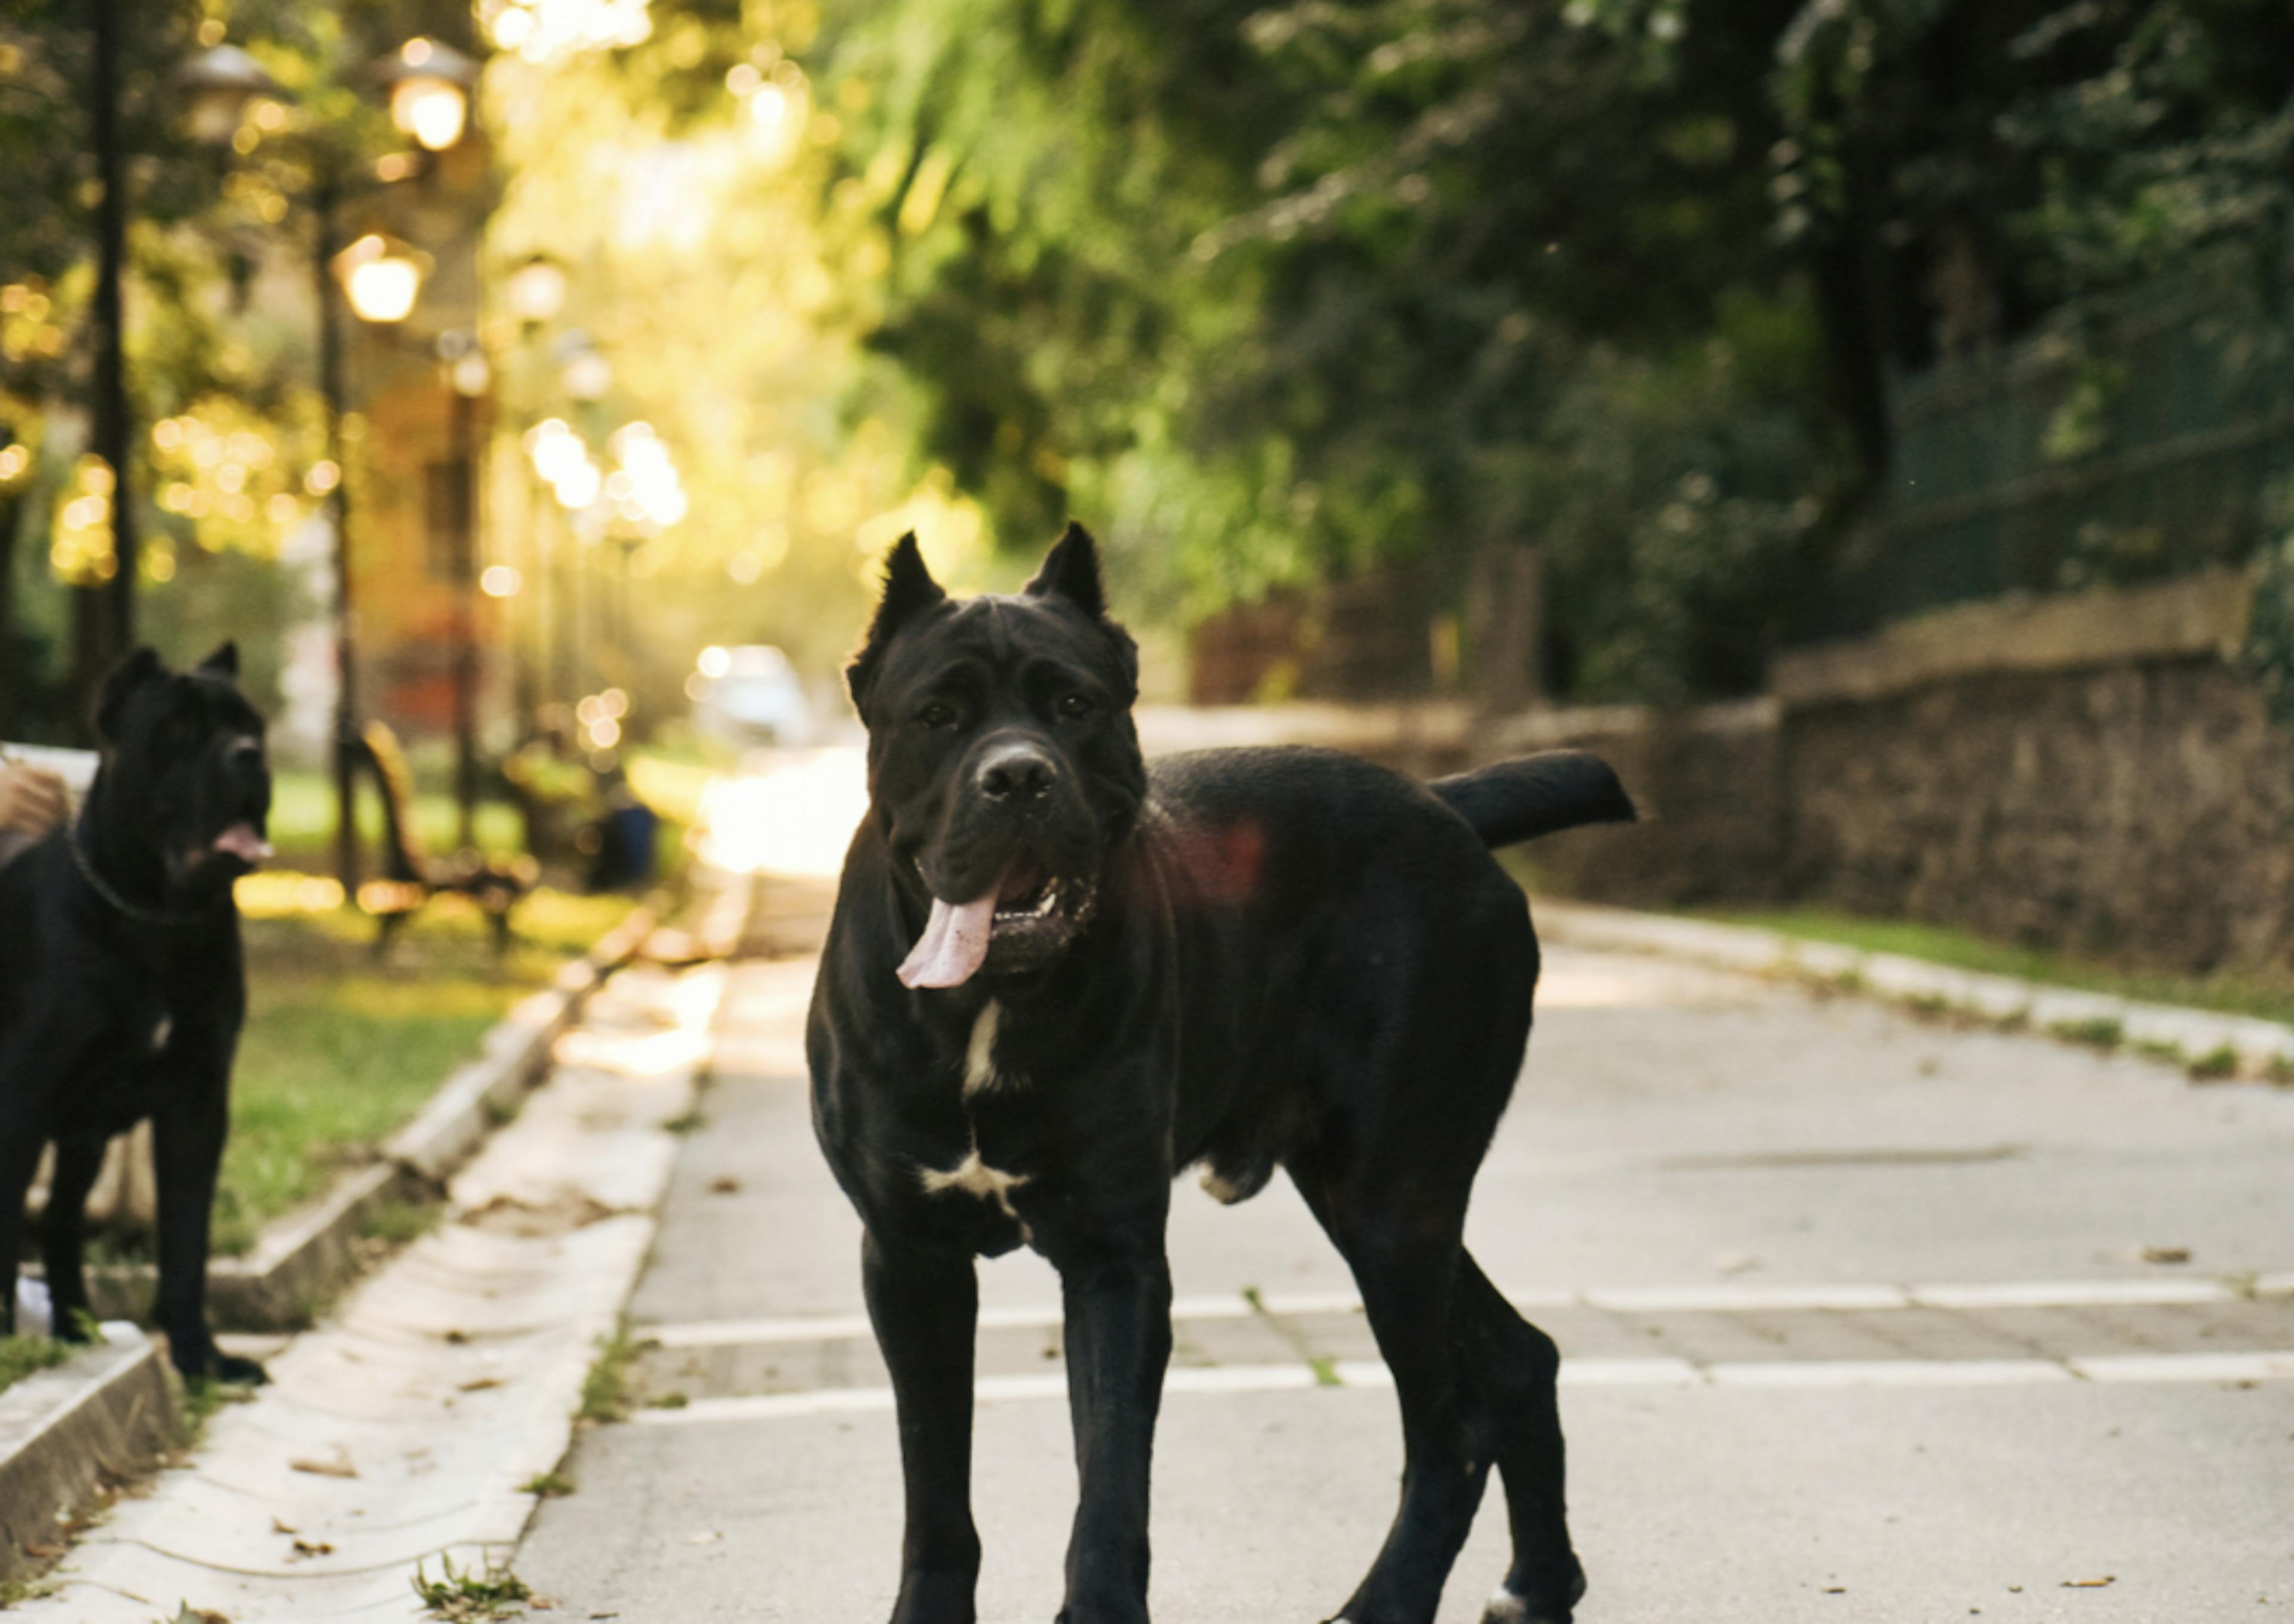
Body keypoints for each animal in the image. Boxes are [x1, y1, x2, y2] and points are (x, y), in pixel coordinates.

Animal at [1, 646, 274, 1385]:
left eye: (252, 727)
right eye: (177, 729)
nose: (248, 756)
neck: (155, 917)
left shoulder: (196, 1104)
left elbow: (186, 1241)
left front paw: (200, 1356)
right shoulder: (22, 1099)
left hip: (85, 1140)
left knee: (62, 1223)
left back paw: (73, 1329)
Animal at [807, 530, 1633, 1624]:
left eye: (1074, 703)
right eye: (938, 715)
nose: (1018, 776)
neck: (990, 1000)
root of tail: (1443, 805)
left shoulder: (1114, 1256)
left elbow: (1111, 1483)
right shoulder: (909, 1258)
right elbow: (937, 1486)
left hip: (1394, 1193)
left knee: (1450, 1421)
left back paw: (1383, 1603)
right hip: (1374, 1189)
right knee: (1514, 1359)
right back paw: (1538, 1581)